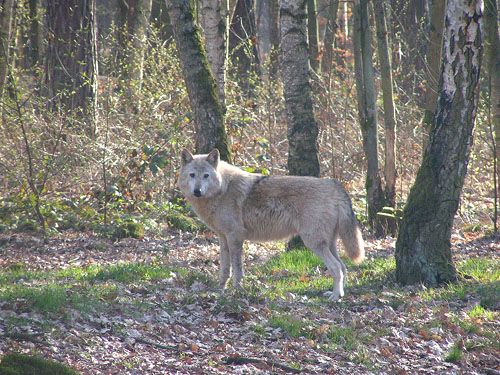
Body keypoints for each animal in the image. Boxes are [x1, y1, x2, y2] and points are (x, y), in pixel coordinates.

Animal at [178, 148, 366, 302]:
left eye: (206, 176)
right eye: (192, 175)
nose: (197, 191)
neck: (222, 189)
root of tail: (334, 184)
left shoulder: (235, 237)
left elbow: (237, 269)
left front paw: (236, 290)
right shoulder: (223, 238)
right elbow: (225, 269)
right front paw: (220, 290)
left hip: (313, 243)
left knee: (336, 267)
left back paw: (335, 297)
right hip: (328, 243)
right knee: (343, 266)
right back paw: (339, 294)